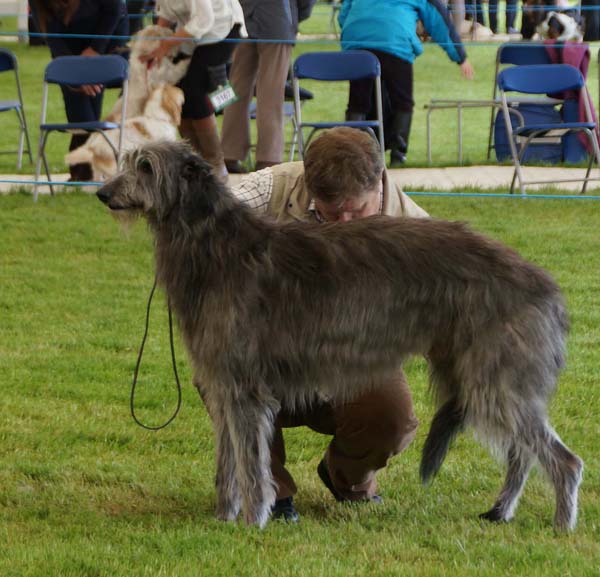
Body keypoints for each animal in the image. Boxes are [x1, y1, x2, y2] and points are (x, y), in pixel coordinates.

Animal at [97, 142, 580, 528]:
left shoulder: (244, 389)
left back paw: (561, 524)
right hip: (484, 374)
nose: (102, 192)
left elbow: (251, 467)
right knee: (522, 453)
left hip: (494, 376)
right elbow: (227, 463)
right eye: (126, 160)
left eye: (146, 166)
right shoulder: (223, 387)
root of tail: (545, 285)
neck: (214, 244)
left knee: (562, 459)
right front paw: (223, 517)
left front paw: (251, 522)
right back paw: (501, 511)